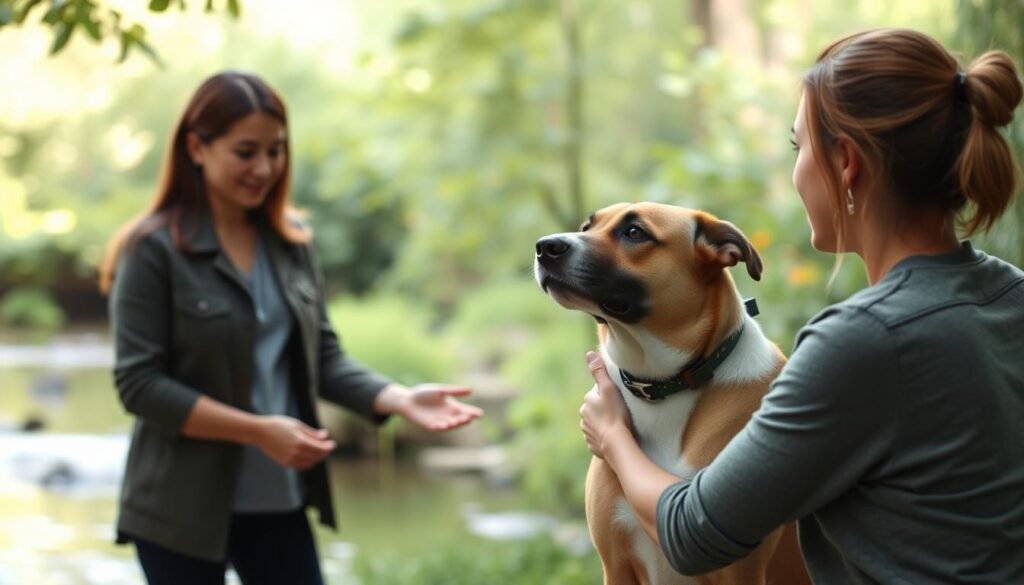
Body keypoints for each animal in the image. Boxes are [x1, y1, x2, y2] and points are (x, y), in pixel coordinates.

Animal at [536, 202, 806, 585]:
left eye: (635, 232)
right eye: (587, 227)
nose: (545, 247)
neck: (662, 384)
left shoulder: (738, 570)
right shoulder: (615, 563)